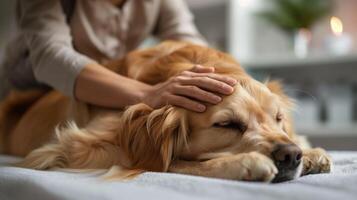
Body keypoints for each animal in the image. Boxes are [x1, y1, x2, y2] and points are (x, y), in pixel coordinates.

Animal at [0, 41, 330, 182]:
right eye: (227, 125)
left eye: (278, 119)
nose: (291, 156)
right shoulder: (64, 147)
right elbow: (168, 162)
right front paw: (244, 163)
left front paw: (311, 153)